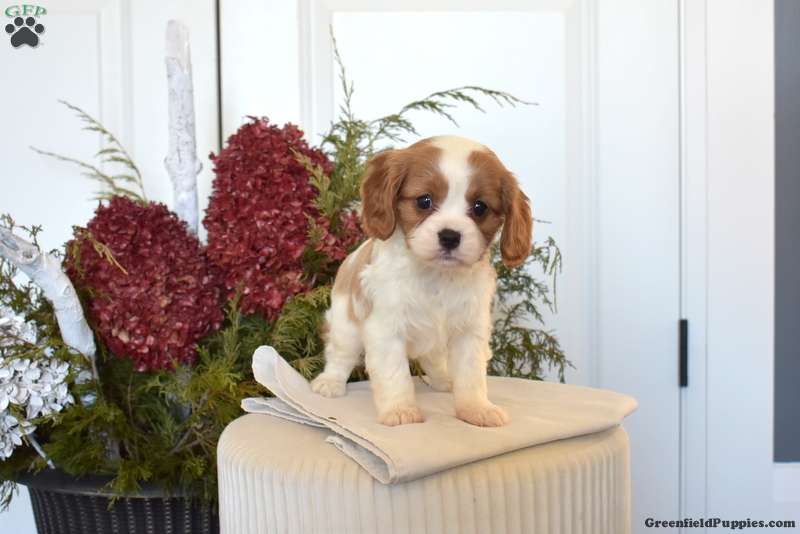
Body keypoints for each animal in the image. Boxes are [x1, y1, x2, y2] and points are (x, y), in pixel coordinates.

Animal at [310, 135, 533, 427]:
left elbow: (471, 375)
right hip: (345, 322)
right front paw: (400, 410)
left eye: (480, 207)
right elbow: (395, 375)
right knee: (340, 353)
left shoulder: (469, 332)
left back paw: (444, 380)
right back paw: (330, 382)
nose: (450, 236)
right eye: (424, 201)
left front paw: (476, 409)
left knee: (434, 362)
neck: (436, 275)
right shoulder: (386, 330)